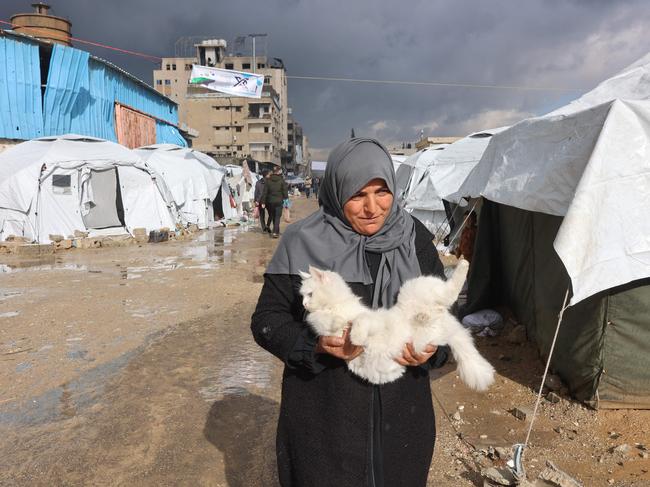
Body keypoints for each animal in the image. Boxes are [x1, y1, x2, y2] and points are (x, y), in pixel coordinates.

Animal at [298, 262, 492, 390]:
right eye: (302, 296)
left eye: (310, 294)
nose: (304, 304)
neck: (334, 306)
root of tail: (443, 318)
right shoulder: (327, 331)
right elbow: (327, 323)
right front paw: (338, 322)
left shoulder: (370, 319)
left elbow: (359, 320)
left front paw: (355, 337)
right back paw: (423, 316)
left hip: (418, 287)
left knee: (450, 291)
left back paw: (463, 264)